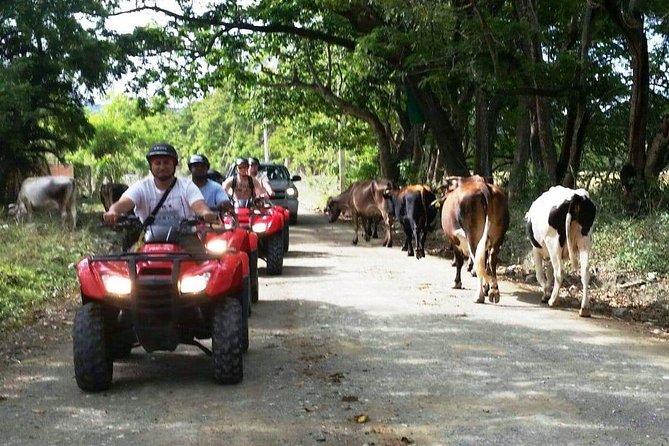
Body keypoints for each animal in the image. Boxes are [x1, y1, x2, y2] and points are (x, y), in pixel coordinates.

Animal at [440, 174, 508, 304]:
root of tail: (483, 186)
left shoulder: (454, 240)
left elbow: (460, 261)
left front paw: (457, 282)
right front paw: (487, 287)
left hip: (473, 237)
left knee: (478, 260)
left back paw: (479, 295)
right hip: (497, 238)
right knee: (491, 260)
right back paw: (493, 291)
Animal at [528, 186, 596, 318]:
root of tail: (576, 196)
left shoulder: (536, 249)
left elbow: (540, 274)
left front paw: (546, 293)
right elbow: (549, 273)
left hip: (554, 242)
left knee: (559, 272)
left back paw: (553, 301)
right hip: (584, 241)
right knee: (585, 272)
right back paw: (584, 308)